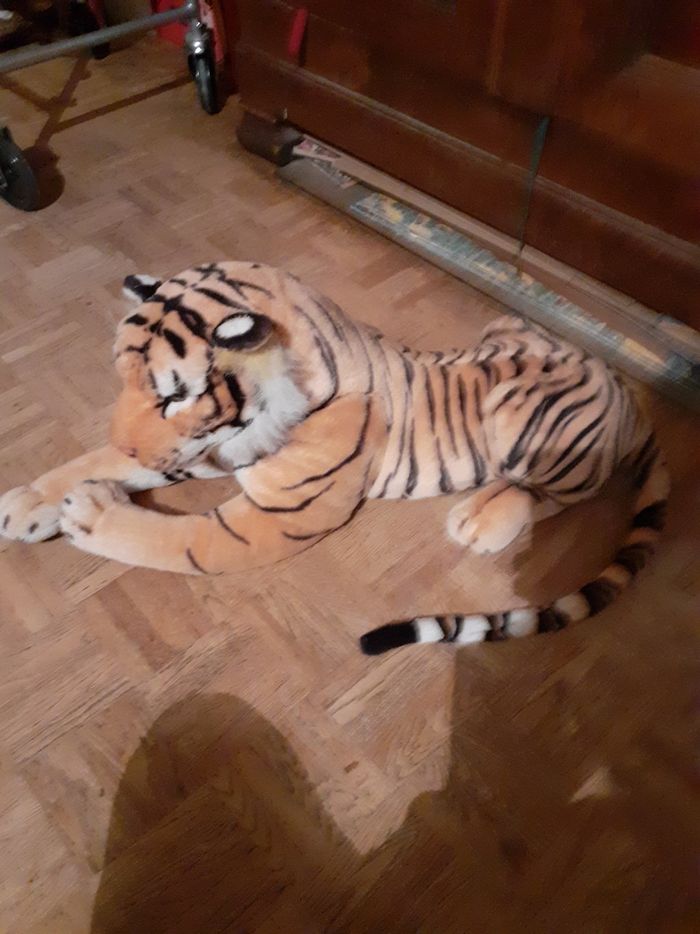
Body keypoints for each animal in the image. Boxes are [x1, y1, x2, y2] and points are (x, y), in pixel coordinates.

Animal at [0, 261, 669, 655]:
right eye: (123, 378)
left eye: (171, 396)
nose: (132, 441)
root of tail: (624, 384)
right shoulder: (207, 451)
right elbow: (98, 459)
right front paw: (29, 502)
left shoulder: (272, 517)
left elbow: (172, 542)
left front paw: (89, 514)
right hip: (503, 329)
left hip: (519, 420)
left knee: (561, 491)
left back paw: (480, 519)